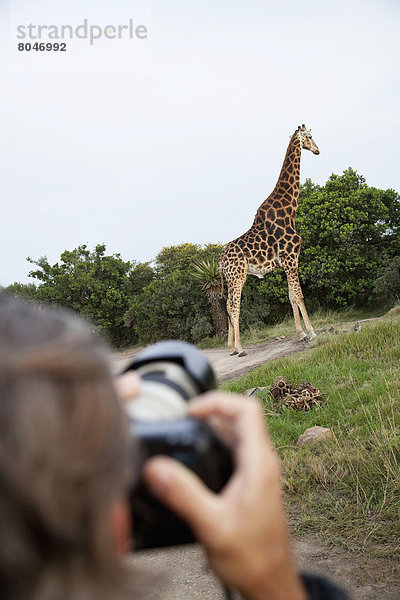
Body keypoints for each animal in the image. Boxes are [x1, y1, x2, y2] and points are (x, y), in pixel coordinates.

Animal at [220, 123, 320, 356]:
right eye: (310, 137)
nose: (317, 150)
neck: (290, 209)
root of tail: (220, 260)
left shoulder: (287, 262)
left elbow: (291, 296)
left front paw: (301, 333)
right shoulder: (292, 258)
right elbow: (300, 294)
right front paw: (311, 332)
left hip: (229, 279)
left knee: (228, 305)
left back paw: (231, 347)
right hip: (238, 277)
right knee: (235, 306)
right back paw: (240, 348)